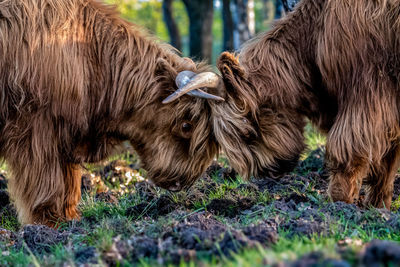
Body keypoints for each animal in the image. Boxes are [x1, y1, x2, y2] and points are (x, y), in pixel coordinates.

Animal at [0, 0, 222, 227]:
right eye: (186, 126)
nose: (183, 182)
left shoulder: (67, 134)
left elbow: (69, 182)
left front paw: (70, 218)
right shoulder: (38, 127)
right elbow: (46, 179)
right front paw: (49, 221)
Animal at [211, 0, 398, 209]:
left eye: (248, 133)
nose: (267, 173)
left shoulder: (368, 89)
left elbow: (348, 145)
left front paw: (338, 201)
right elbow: (388, 157)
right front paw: (378, 205)